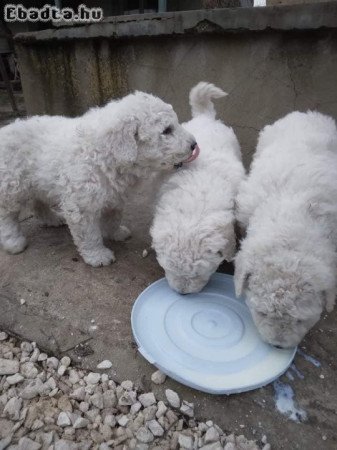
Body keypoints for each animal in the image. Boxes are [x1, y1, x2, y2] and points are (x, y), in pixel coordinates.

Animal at [0, 92, 197, 266]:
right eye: (167, 131)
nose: (194, 144)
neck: (105, 153)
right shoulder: (81, 204)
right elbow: (89, 234)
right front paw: (97, 255)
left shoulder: (115, 194)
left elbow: (113, 216)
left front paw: (115, 233)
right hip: (11, 186)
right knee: (6, 215)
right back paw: (13, 242)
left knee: (38, 202)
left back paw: (52, 219)